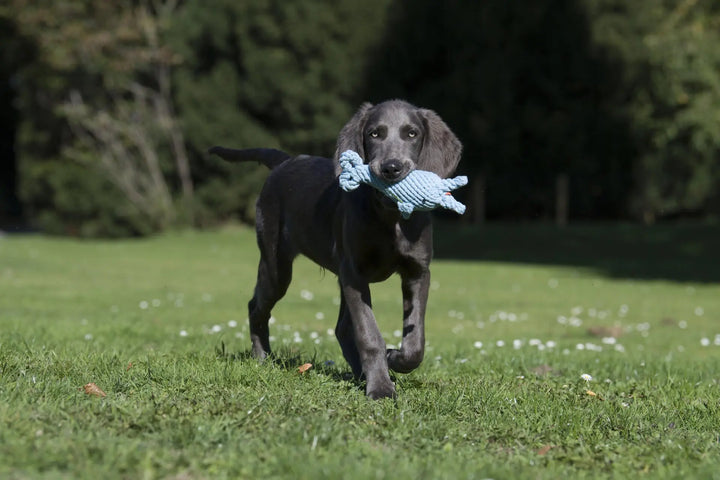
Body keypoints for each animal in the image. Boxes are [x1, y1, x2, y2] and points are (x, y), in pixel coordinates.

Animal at [211, 99, 464, 400]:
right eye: (374, 134)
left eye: (412, 134)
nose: (391, 168)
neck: (389, 215)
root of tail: (285, 161)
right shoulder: (355, 273)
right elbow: (369, 333)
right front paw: (380, 387)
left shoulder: (417, 271)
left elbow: (416, 342)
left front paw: (393, 359)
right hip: (277, 265)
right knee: (257, 306)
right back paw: (262, 358)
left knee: (342, 328)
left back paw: (362, 373)